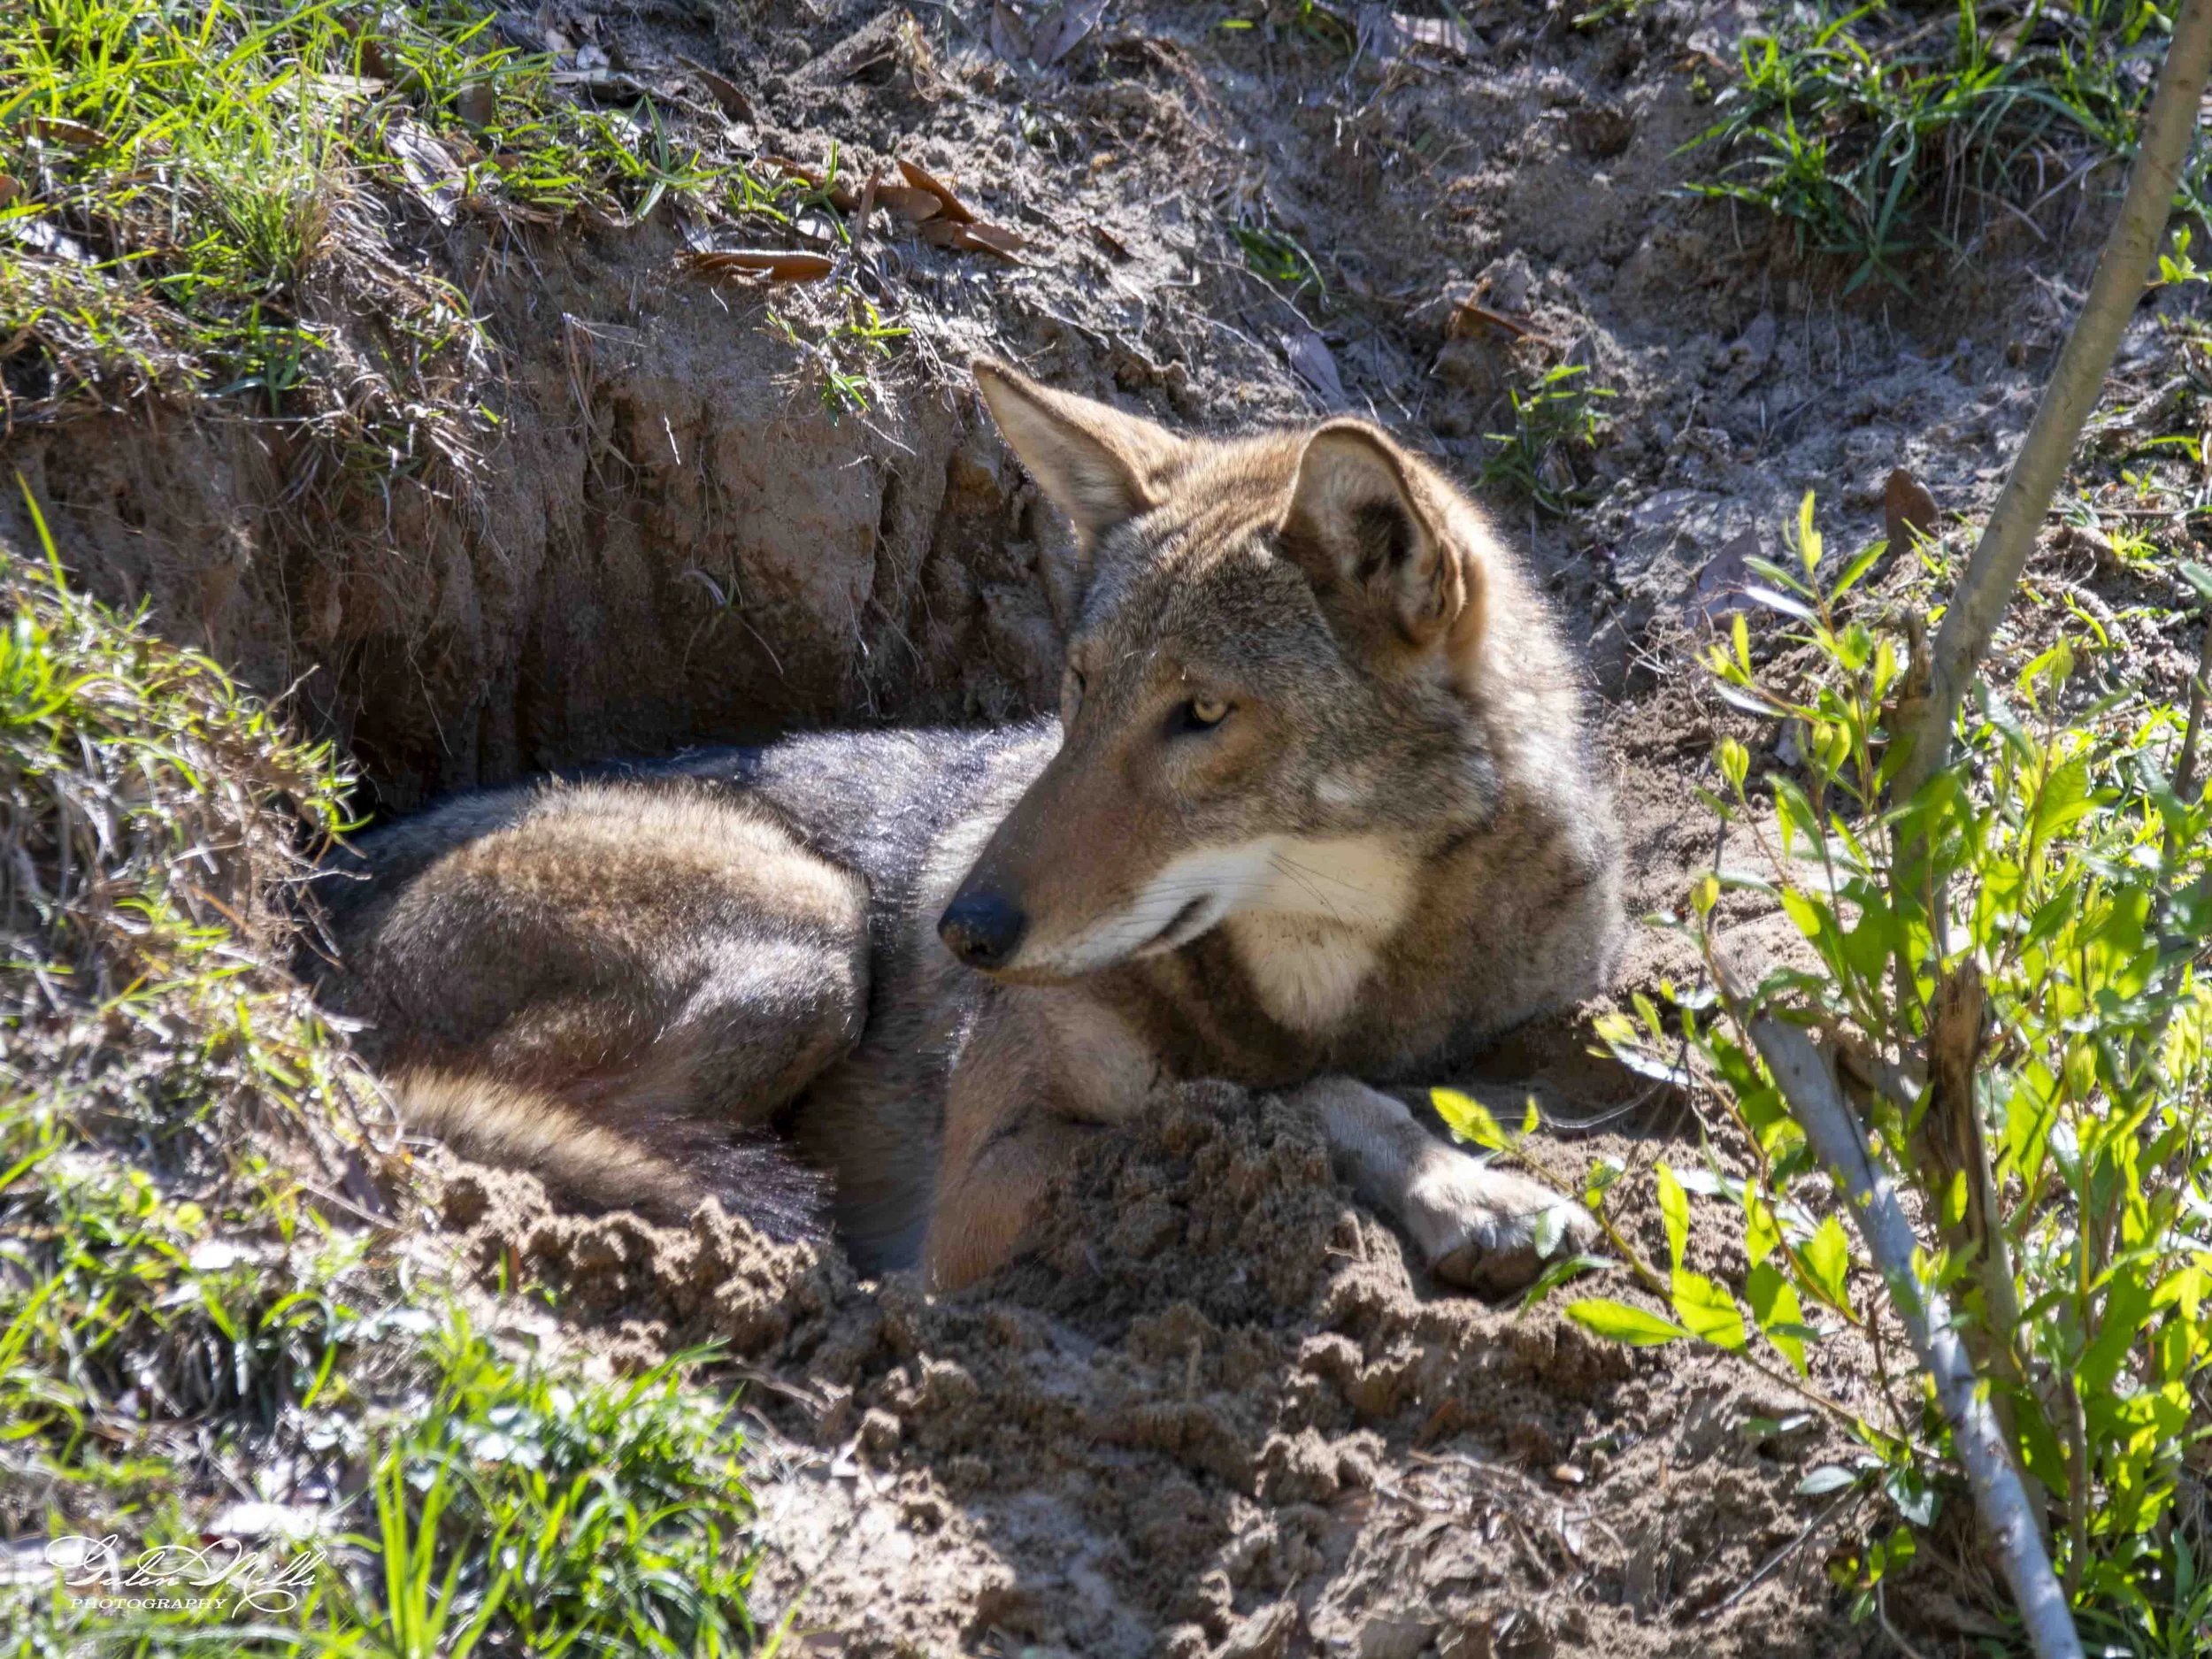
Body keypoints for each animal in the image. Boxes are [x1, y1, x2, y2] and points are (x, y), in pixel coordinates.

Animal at [315, 361, 1625, 1294]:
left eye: (1201, 713)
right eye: (1078, 687)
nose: (965, 931)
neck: (1324, 983)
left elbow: (1316, 1088)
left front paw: (1467, 1183)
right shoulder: (977, 1195)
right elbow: (1277, 1096)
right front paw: (1472, 1187)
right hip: (813, 928)